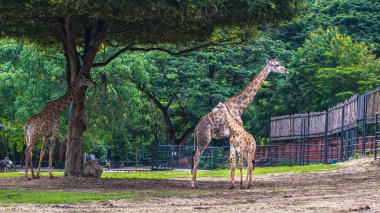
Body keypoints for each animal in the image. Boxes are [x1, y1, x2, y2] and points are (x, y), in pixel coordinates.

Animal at [191, 57, 286, 188]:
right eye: (277, 65)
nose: (286, 71)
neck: (239, 107)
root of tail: (196, 128)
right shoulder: (235, 135)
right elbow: (235, 162)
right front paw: (236, 184)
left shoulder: (232, 138)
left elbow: (233, 162)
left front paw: (233, 184)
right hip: (204, 139)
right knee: (197, 157)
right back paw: (193, 184)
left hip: (201, 140)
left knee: (196, 156)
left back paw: (195, 183)